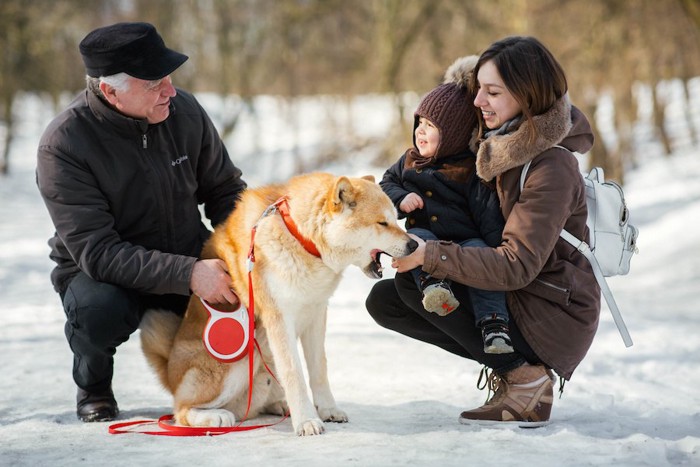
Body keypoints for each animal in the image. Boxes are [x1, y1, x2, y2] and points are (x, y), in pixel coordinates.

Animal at [142, 174, 416, 436]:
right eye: (382, 223)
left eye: (395, 220)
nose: (413, 244)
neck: (301, 238)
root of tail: (170, 371)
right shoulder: (279, 318)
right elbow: (295, 373)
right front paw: (306, 421)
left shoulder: (316, 313)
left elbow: (319, 370)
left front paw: (327, 409)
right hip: (239, 358)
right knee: (181, 411)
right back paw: (215, 417)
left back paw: (281, 405)